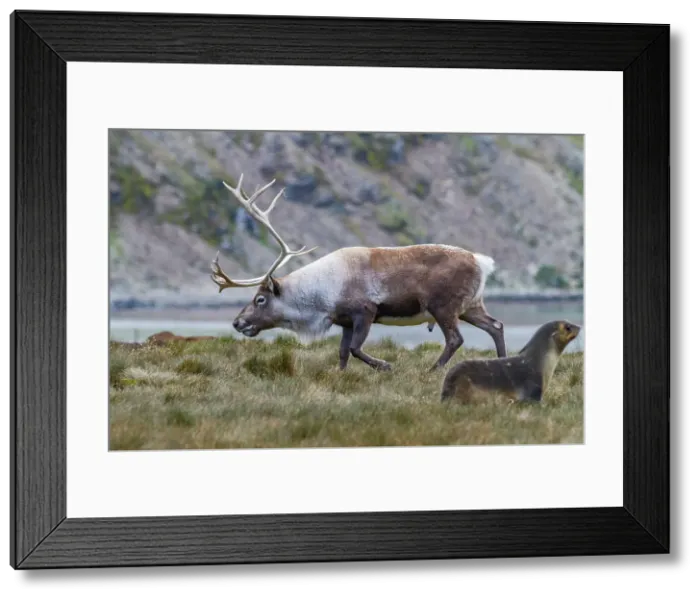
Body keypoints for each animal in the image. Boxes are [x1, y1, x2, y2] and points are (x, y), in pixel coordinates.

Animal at [210, 173, 507, 372]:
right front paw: (341, 376)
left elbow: (354, 348)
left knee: (456, 338)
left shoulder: (365, 311)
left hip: (443, 306)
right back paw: (503, 363)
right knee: (496, 326)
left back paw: (433, 370)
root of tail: (482, 262)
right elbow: (342, 353)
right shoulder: (345, 321)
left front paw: (385, 365)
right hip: (470, 305)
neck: (320, 297)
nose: (237, 322)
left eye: (260, 299)